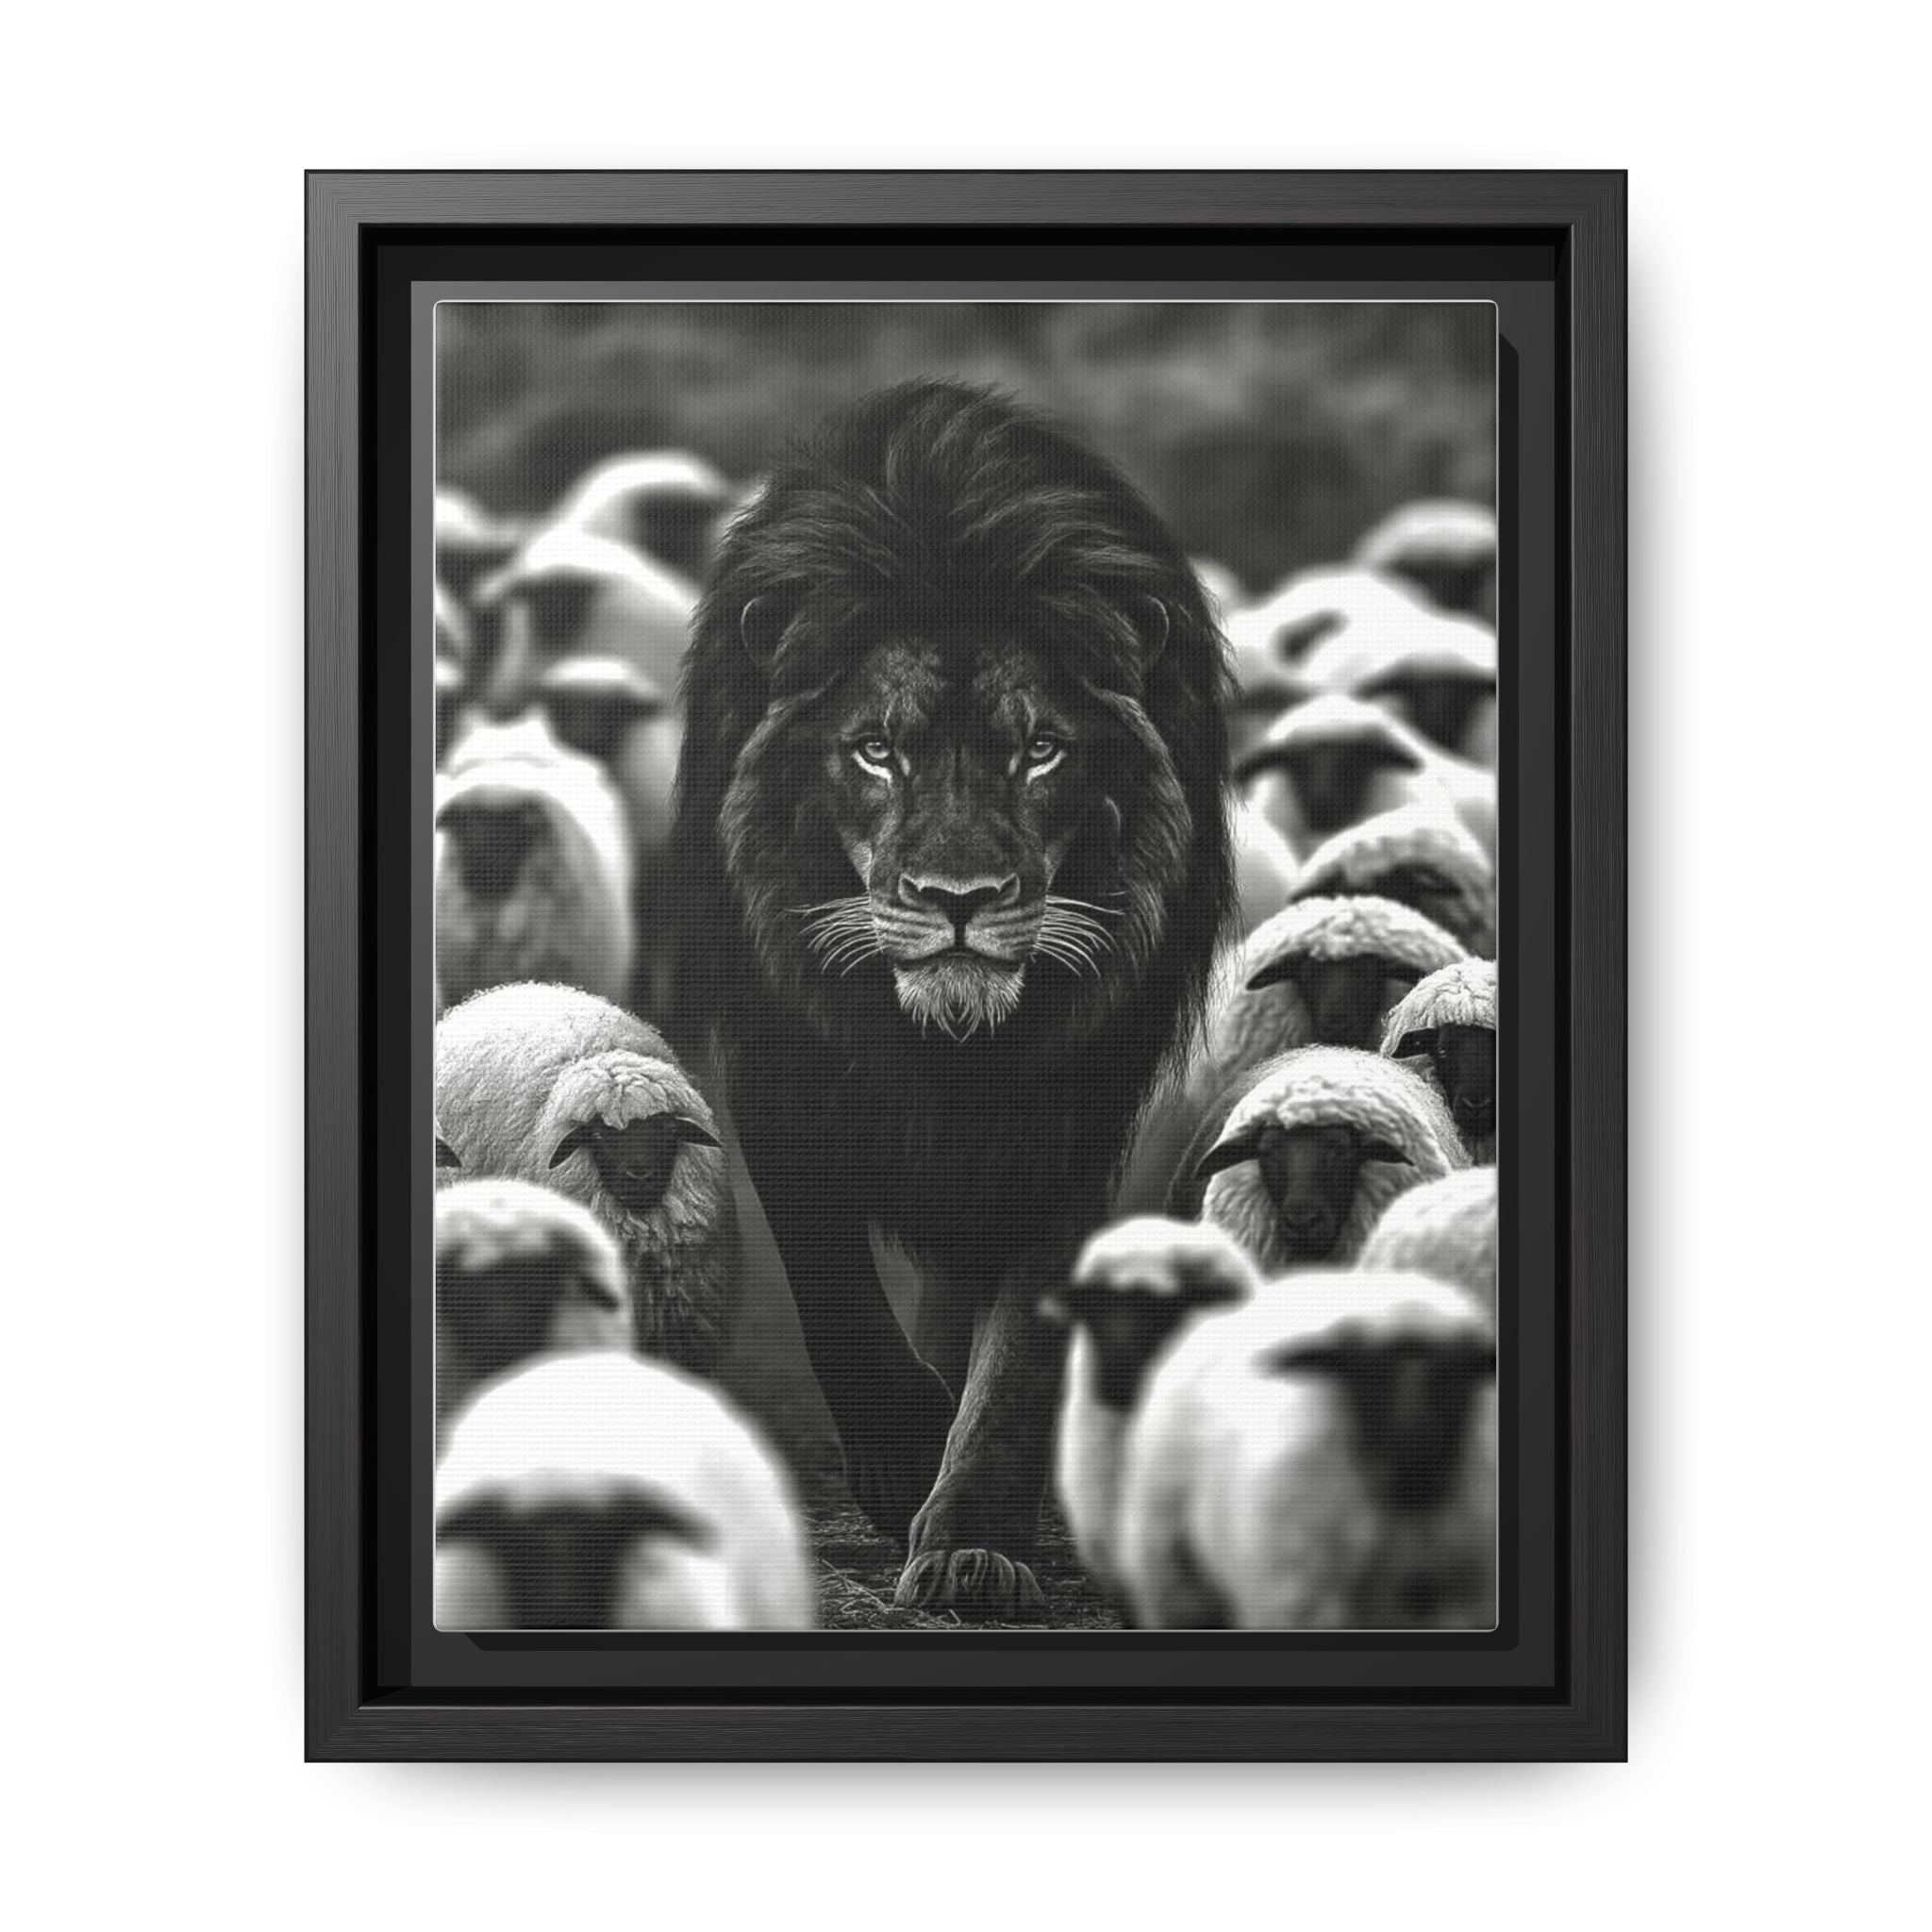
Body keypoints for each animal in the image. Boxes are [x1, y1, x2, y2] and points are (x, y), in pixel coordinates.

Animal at [667, 381, 1234, 1616]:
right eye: (877, 748)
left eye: (1041, 750)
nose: (959, 898)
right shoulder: (780, 1058)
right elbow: (830, 1273)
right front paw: (902, 1454)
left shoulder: (1071, 1096)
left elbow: (1019, 1339)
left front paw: (974, 1540)